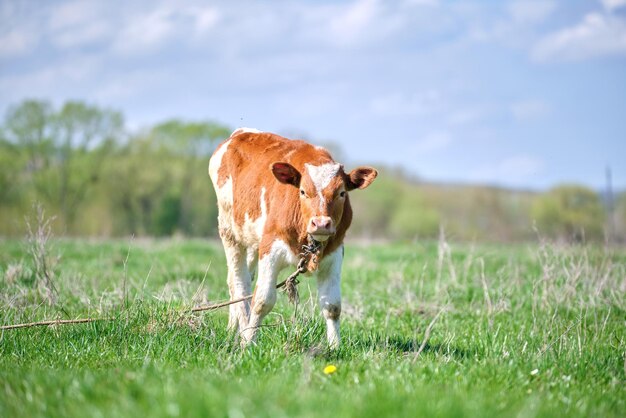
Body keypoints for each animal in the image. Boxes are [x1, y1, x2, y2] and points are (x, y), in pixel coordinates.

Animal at [208, 129, 376, 348]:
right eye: (303, 191)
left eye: (341, 193)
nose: (321, 223)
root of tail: (240, 133)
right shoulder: (270, 248)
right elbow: (262, 301)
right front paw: (249, 342)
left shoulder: (335, 253)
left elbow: (332, 305)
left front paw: (335, 346)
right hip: (230, 233)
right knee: (239, 284)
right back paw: (243, 330)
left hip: (251, 241)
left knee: (240, 279)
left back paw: (232, 330)